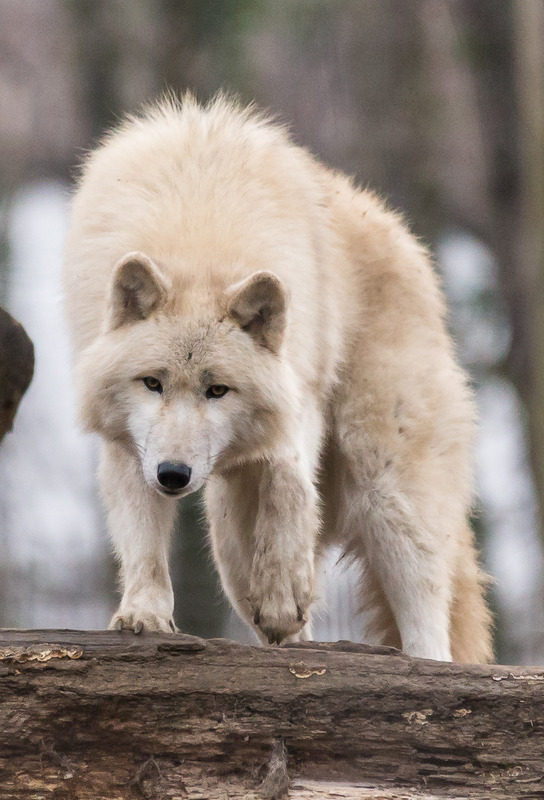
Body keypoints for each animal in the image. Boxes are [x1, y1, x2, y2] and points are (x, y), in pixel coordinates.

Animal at [63, 94, 492, 663]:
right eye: (152, 383)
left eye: (217, 390)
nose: (174, 475)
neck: (198, 239)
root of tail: (407, 242)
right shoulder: (129, 442)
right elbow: (142, 540)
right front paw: (145, 616)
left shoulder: (298, 399)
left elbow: (289, 482)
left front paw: (284, 590)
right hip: (226, 530)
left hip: (386, 486)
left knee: (427, 614)